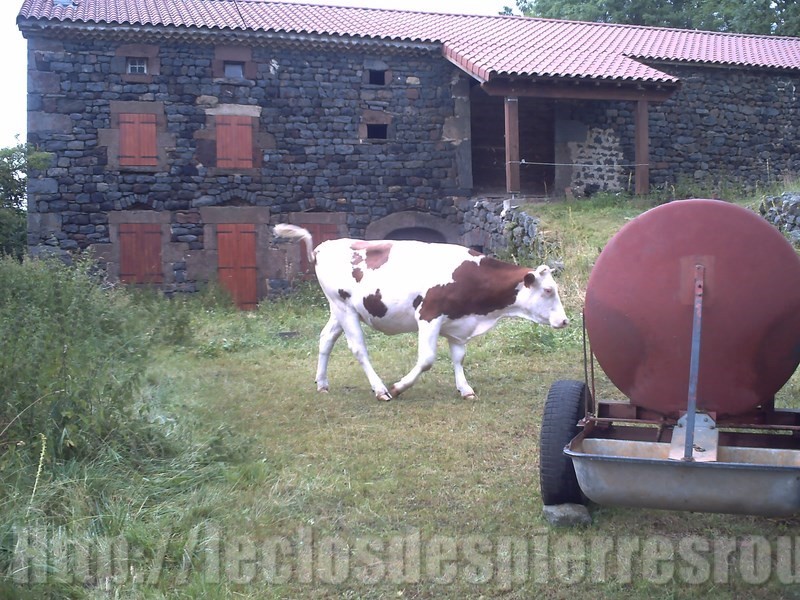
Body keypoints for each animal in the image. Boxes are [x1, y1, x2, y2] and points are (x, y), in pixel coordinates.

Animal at [274, 223, 568, 400]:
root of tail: (325, 246)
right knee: (358, 349)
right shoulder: (429, 315)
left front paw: (465, 389)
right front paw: (399, 387)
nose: (564, 320)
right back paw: (380, 389)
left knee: (326, 339)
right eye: (548, 290)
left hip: (340, 309)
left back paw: (322, 383)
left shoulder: (457, 322)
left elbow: (459, 357)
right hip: (344, 308)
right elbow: (426, 359)